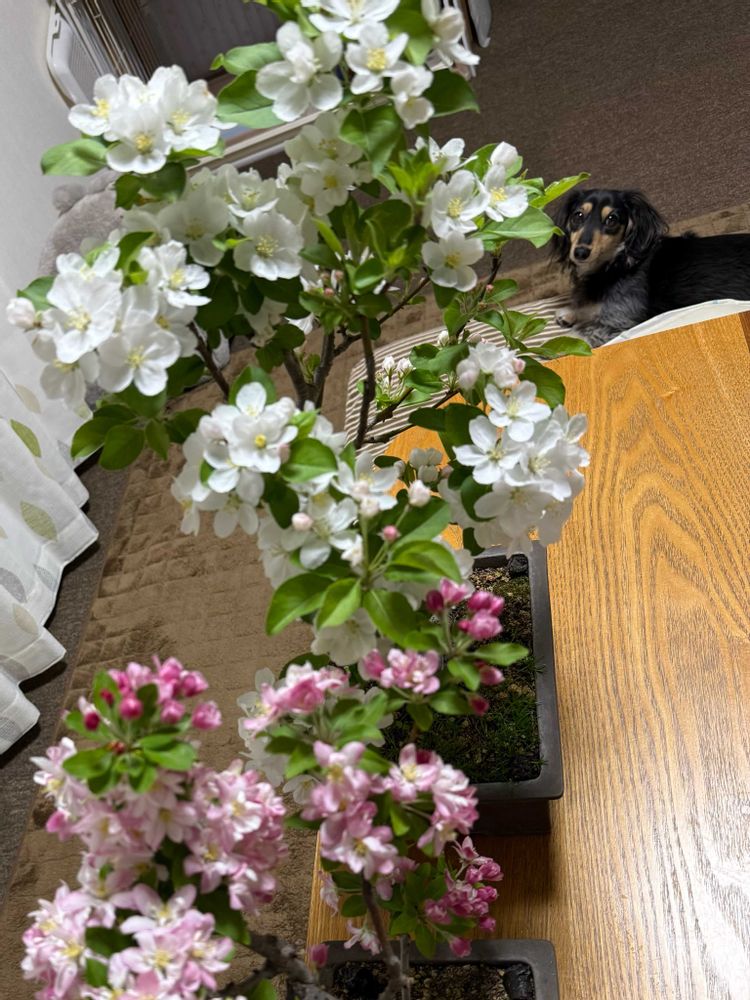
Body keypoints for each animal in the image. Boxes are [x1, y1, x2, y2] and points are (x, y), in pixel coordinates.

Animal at [551, 189, 750, 345]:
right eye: (577, 215)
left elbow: (580, 334)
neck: (617, 264)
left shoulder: (621, 321)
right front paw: (569, 312)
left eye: (612, 219)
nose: (580, 252)